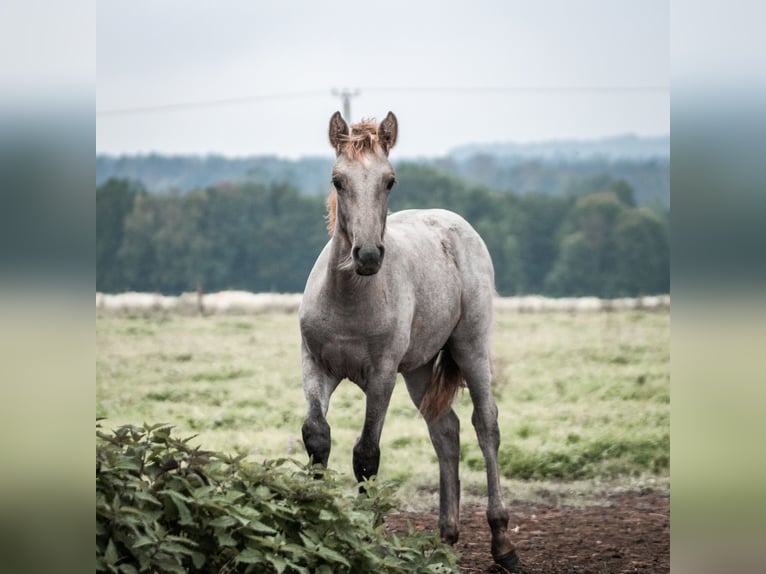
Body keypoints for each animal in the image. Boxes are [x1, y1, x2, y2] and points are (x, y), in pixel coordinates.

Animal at [298, 110, 528, 572]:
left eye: (389, 181)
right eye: (337, 180)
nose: (368, 255)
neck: (347, 297)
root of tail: (457, 224)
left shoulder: (382, 375)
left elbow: (366, 454)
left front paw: (365, 540)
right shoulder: (315, 366)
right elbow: (317, 436)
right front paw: (316, 523)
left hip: (470, 347)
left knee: (485, 424)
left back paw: (502, 543)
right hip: (420, 368)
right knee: (446, 430)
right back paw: (445, 540)